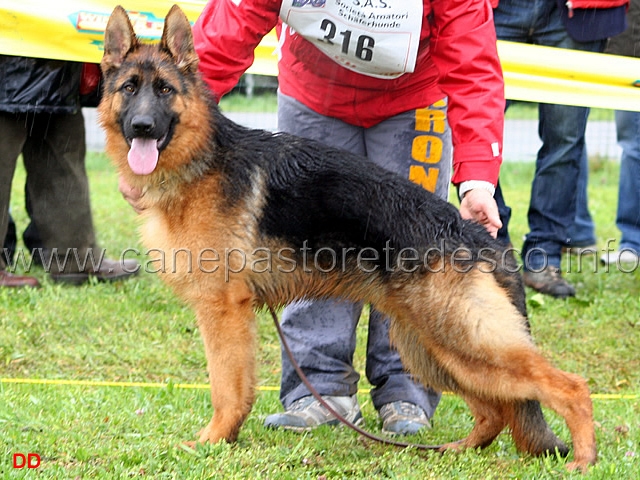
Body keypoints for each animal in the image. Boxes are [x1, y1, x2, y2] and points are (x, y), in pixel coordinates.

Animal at [97, 4, 596, 472]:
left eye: (165, 90)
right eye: (129, 90)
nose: (142, 127)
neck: (200, 159)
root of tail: (476, 233)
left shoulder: (223, 313)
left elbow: (227, 388)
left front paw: (215, 439)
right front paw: (224, 439)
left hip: (463, 343)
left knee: (570, 387)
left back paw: (583, 458)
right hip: (432, 348)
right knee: (494, 410)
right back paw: (458, 450)